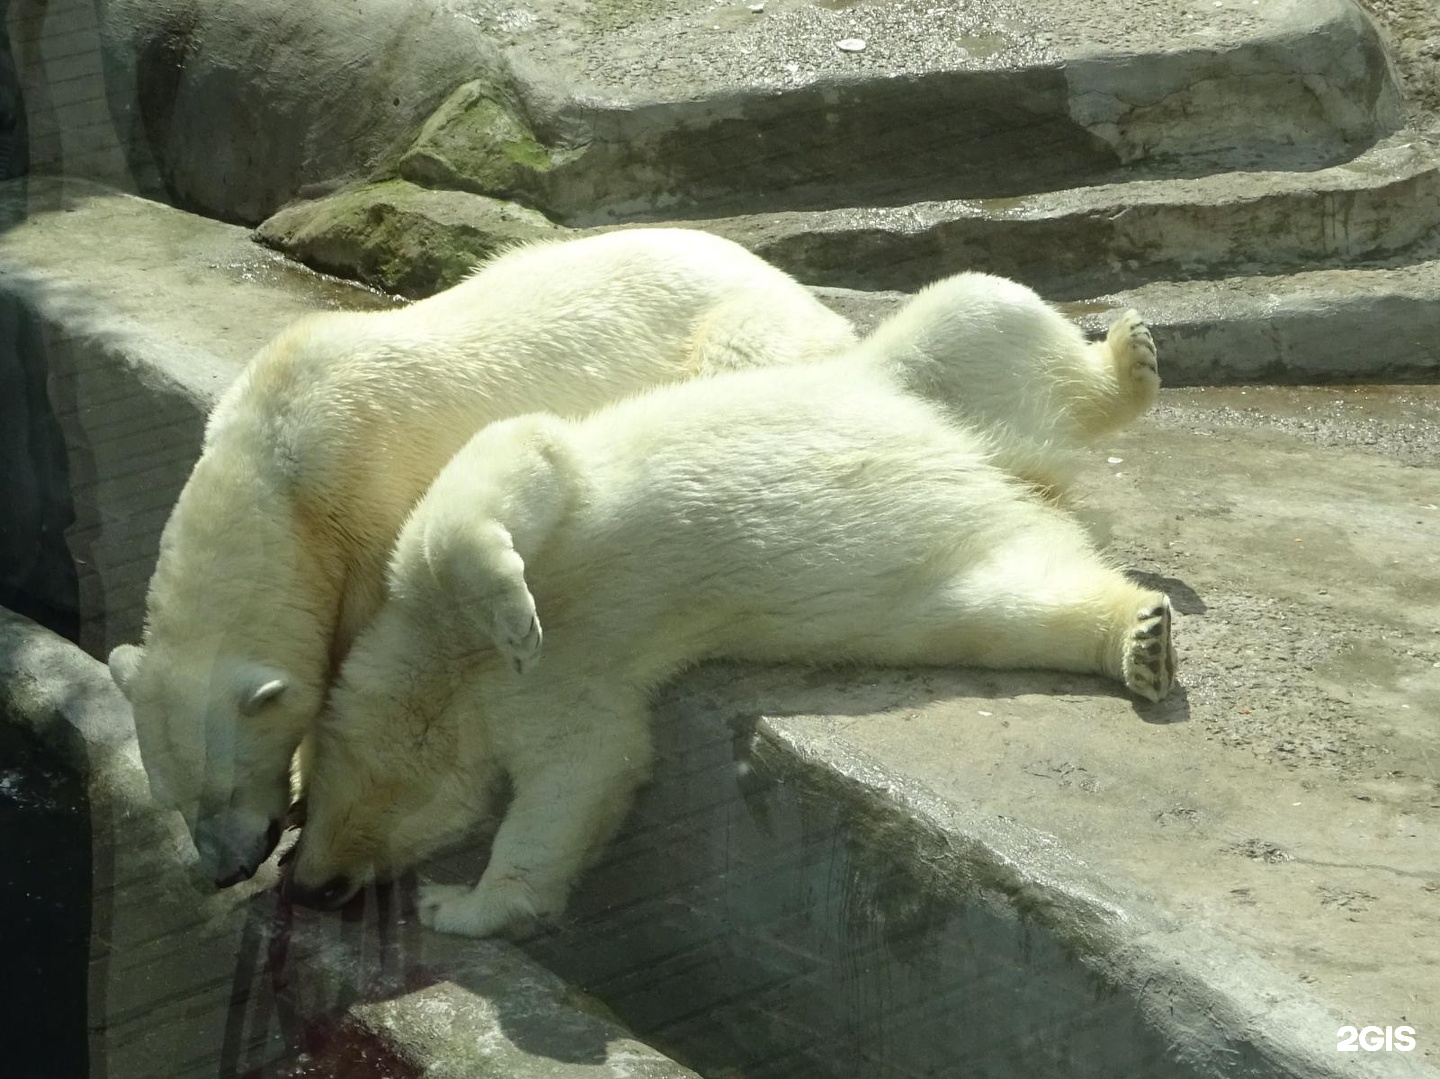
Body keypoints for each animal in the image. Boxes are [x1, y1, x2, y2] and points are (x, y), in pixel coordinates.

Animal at [106, 224, 858, 881]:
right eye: (174, 799)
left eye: (224, 787)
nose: (225, 872)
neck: (276, 469)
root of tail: (789, 283)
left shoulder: (372, 496)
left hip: (735, 330)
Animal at [289, 269, 1169, 933]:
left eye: (300, 805)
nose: (309, 885)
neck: (450, 669)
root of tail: (1011, 470)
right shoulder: (564, 696)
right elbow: (586, 771)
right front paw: (462, 902)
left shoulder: (463, 565)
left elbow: (502, 475)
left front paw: (514, 614)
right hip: (956, 569)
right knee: (1011, 600)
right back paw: (1139, 638)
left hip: (908, 380)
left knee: (980, 312)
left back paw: (1131, 359)